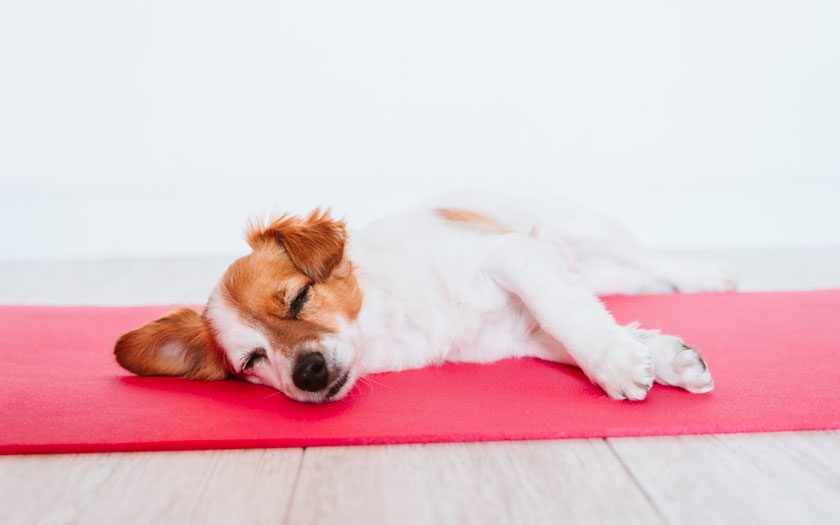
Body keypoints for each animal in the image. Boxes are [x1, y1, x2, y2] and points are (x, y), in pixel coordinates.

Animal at [113, 192, 736, 402]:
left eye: (297, 299)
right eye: (251, 361)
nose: (309, 373)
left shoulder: (511, 254)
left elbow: (567, 314)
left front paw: (616, 365)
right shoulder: (521, 333)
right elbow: (574, 324)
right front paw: (659, 356)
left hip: (589, 230)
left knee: (648, 257)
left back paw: (706, 277)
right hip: (594, 267)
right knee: (616, 284)